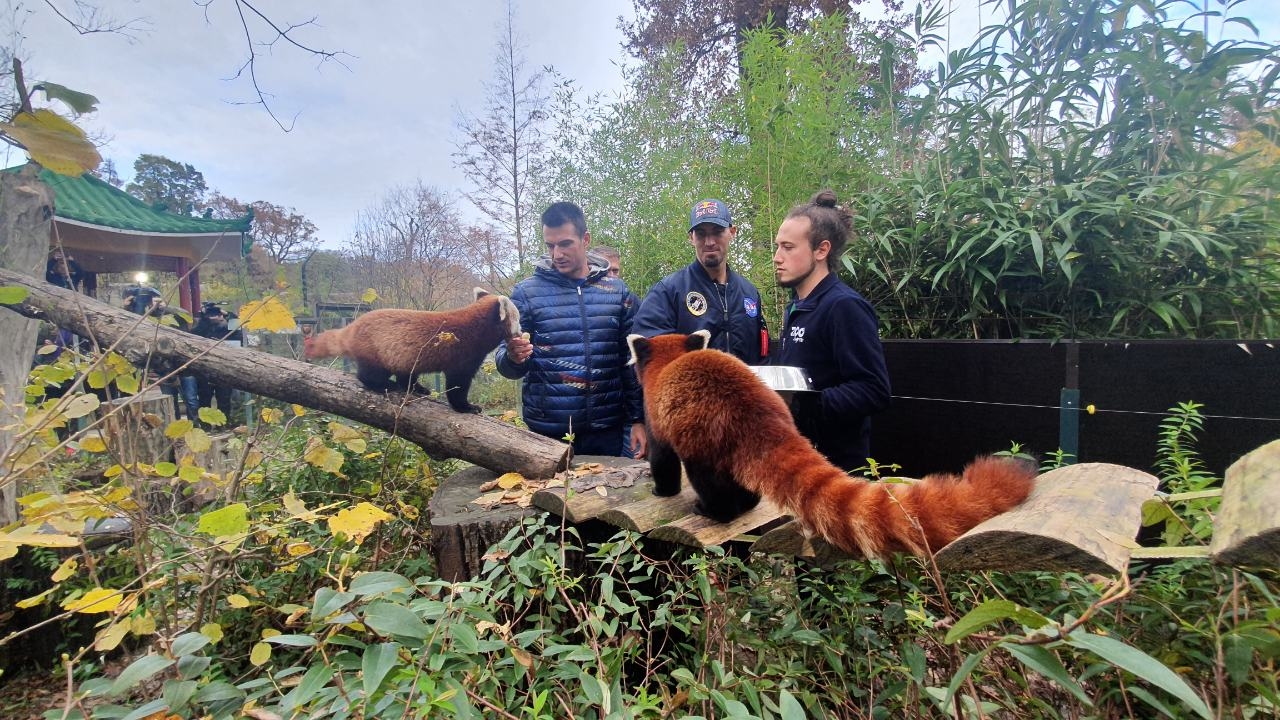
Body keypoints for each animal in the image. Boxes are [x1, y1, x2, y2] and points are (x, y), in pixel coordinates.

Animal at [304, 284, 519, 409]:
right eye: (518, 319)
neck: (476, 327)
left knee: (406, 375)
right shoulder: (462, 354)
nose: (521, 330)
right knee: (370, 374)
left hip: (405, 357)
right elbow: (457, 384)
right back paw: (385, 385)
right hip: (375, 350)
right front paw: (466, 407)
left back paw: (418, 389)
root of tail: (352, 327)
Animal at [629, 327, 1039, 558]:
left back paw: (713, 510)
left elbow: (662, 458)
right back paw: (746, 504)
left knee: (707, 478)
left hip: (702, 436)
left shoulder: (657, 416)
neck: (667, 363)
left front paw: (662, 490)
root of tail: (761, 413)